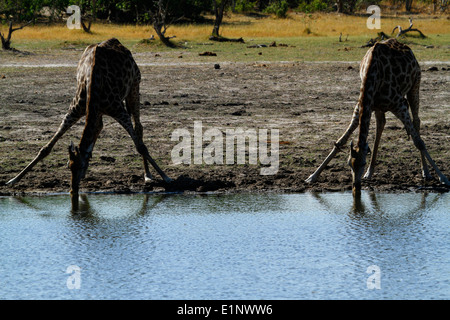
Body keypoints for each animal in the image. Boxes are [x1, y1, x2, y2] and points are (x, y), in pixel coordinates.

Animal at [7, 38, 172, 200]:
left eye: (78, 166)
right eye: (69, 166)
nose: (73, 190)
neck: (93, 83)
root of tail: (118, 43)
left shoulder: (118, 110)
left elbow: (140, 146)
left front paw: (166, 177)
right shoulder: (75, 109)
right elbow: (46, 148)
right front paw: (13, 180)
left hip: (134, 87)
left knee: (138, 127)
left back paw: (147, 175)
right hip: (99, 109)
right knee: (99, 126)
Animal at [304, 39, 448, 196]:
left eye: (363, 163)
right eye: (349, 163)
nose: (356, 187)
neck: (372, 74)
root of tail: (407, 48)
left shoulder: (400, 105)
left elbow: (419, 142)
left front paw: (443, 178)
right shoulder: (361, 106)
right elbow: (341, 141)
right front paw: (312, 177)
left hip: (415, 86)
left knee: (416, 121)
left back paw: (426, 172)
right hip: (379, 107)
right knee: (381, 124)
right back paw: (370, 173)